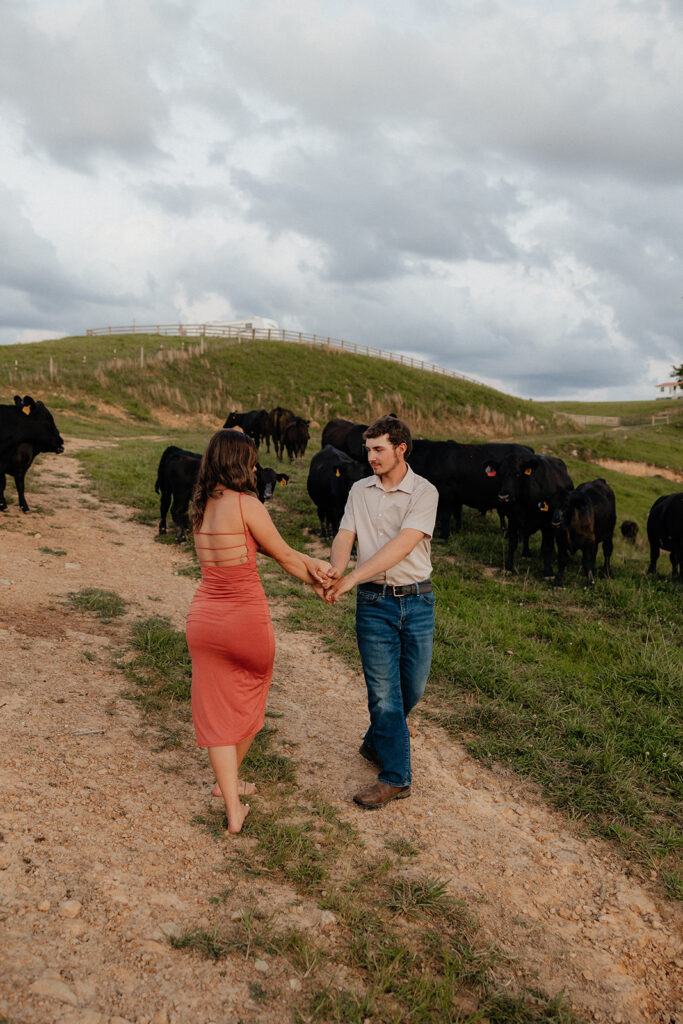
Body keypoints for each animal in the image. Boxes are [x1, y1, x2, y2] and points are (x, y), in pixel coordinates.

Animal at [154, 448, 286, 544]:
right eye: (262, 480)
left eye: (274, 481)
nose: (268, 494)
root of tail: (176, 453)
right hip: (180, 493)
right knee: (175, 510)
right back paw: (181, 537)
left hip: (168, 489)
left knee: (166, 505)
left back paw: (166, 529)